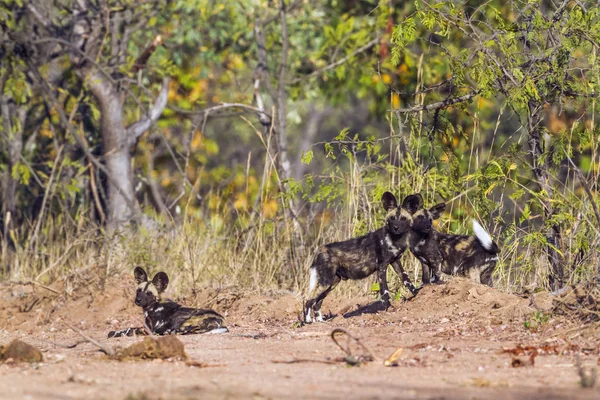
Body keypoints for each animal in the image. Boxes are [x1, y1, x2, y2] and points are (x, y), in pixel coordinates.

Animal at [302, 192, 420, 324]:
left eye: (403, 218)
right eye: (392, 218)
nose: (396, 227)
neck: (394, 239)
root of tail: (320, 250)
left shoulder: (395, 262)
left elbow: (407, 280)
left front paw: (417, 293)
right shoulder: (382, 266)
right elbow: (385, 292)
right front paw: (388, 309)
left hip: (332, 282)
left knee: (317, 302)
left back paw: (321, 321)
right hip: (325, 283)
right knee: (308, 299)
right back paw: (308, 321)